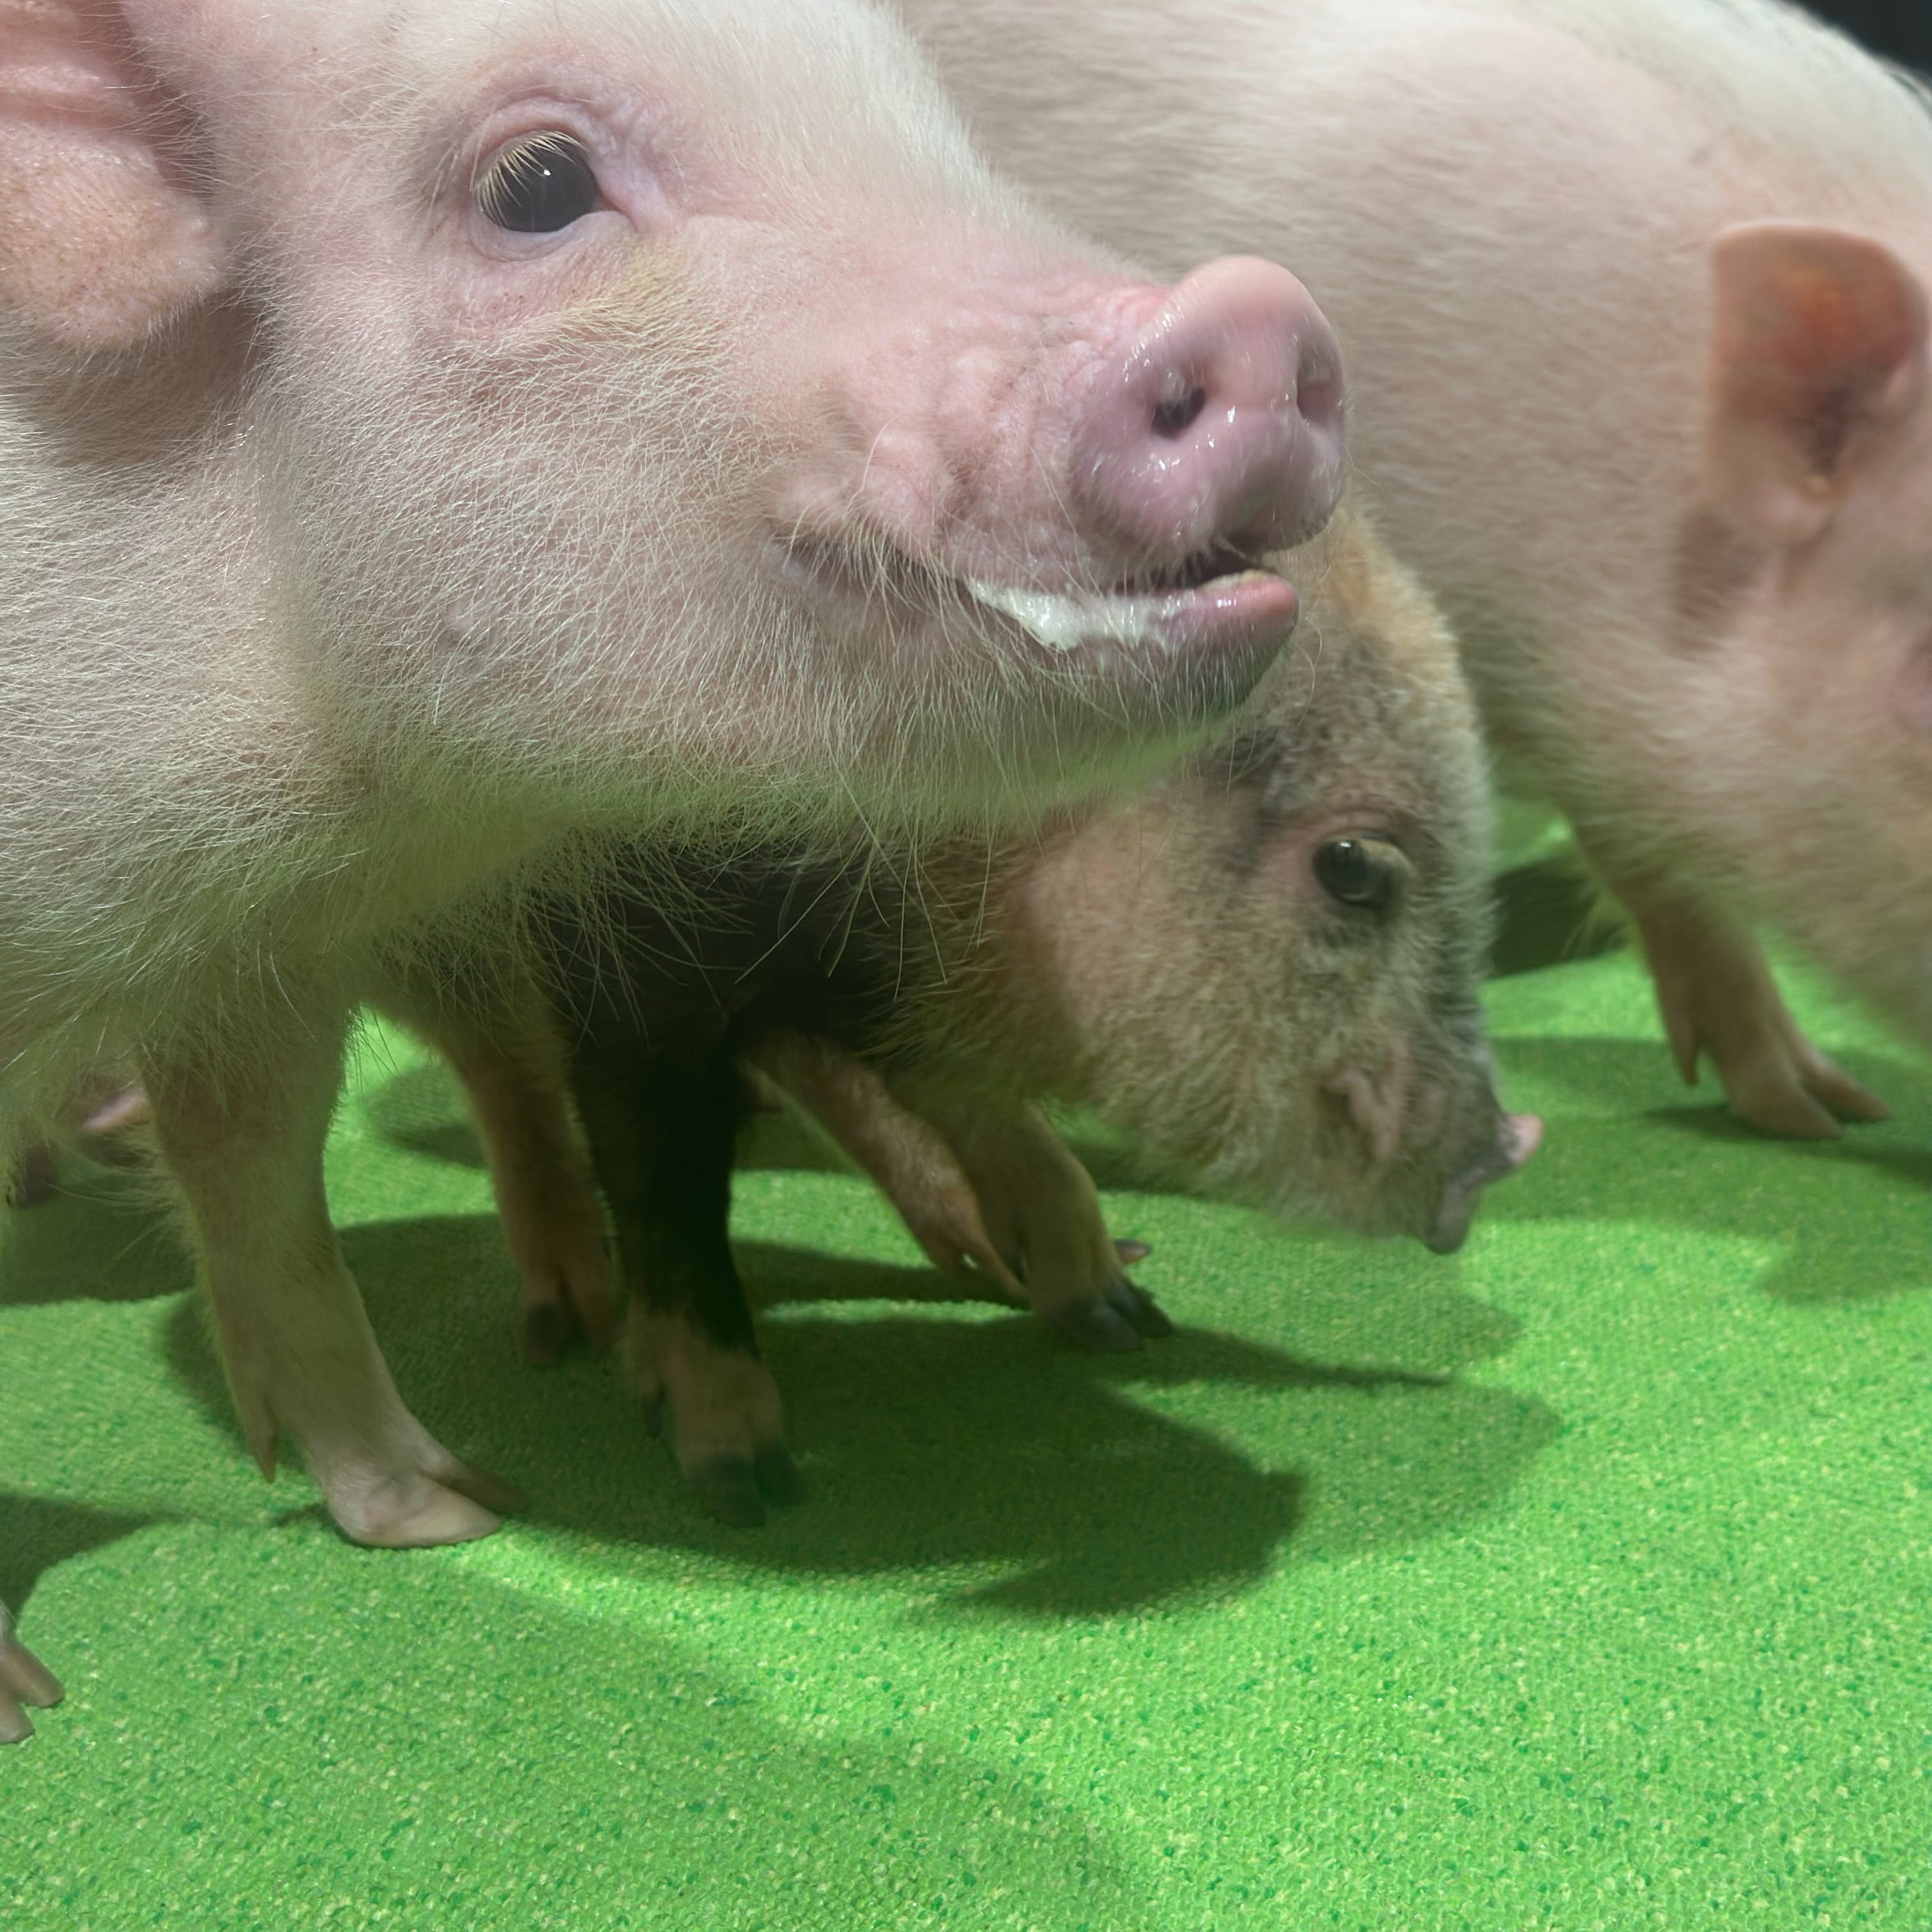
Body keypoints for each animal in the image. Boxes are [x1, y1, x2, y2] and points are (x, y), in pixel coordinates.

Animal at [0, 0, 1347, 1733]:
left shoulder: (264, 952)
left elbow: (270, 1192)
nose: (1252, 307)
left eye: (928, 122)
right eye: (537, 183)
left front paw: (450, 1516)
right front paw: (33, 1709)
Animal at [401, 508, 1538, 1526]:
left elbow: (953, 1093)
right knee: (502, 1072)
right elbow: (667, 1181)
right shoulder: (634, 964)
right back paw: (563, 1330)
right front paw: (747, 1485)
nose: (1500, 1152)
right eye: (1352, 868)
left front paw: (1130, 1321)